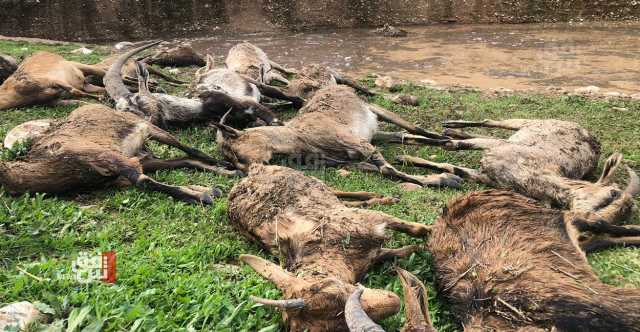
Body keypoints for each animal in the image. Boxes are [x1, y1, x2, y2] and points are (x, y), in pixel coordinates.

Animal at [0, 104, 238, 204]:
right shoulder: (115, 174)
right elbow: (143, 180)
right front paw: (206, 192)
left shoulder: (104, 156)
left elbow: (142, 181)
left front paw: (202, 195)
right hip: (145, 156)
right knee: (183, 160)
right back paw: (225, 173)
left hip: (147, 128)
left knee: (188, 148)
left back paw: (227, 167)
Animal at [215, 84, 460, 188]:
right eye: (229, 159)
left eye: (237, 154)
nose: (246, 173)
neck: (298, 138)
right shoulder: (347, 159)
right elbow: (377, 168)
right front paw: (447, 178)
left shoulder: (358, 143)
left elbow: (388, 169)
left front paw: (449, 179)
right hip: (377, 132)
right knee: (401, 135)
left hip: (374, 110)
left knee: (413, 128)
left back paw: (448, 139)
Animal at [228, 165, 432, 330]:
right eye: (340, 325)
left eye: (328, 288)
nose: (394, 301)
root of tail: (253, 170)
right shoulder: (371, 248)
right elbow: (398, 251)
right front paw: (413, 250)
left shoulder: (368, 219)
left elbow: (417, 229)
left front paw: (429, 232)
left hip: (312, 180)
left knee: (340, 191)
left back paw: (384, 197)